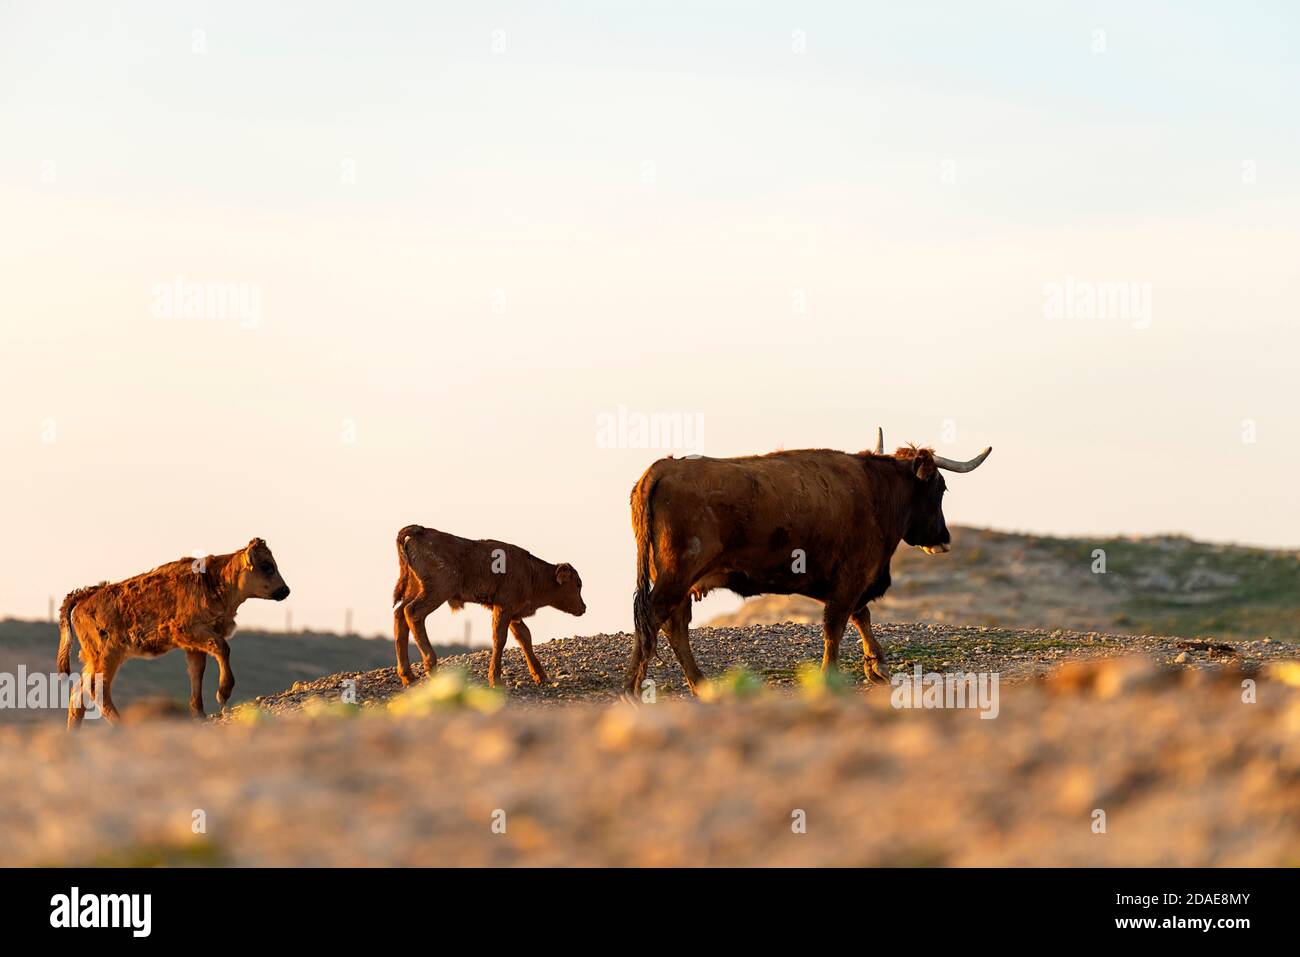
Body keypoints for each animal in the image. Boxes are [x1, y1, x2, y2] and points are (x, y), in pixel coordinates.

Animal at [56, 539, 291, 730]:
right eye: (266, 566)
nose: (285, 590)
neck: (215, 580)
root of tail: (87, 595)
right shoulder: (193, 632)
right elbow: (222, 648)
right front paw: (223, 693)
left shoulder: (195, 645)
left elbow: (197, 672)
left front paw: (199, 713)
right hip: (108, 655)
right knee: (97, 688)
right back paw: (120, 724)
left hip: (95, 659)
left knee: (79, 693)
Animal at [391, 525, 586, 689]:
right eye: (577, 584)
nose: (584, 607)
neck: (531, 572)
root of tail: (422, 531)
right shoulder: (504, 608)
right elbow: (500, 639)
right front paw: (496, 679)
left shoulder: (513, 613)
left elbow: (525, 638)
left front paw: (541, 676)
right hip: (438, 591)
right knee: (413, 613)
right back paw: (430, 667)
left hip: (415, 590)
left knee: (400, 614)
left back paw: (408, 676)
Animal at [625, 429, 992, 696]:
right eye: (940, 488)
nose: (943, 539)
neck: (876, 491)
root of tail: (663, 468)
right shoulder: (852, 575)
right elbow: (836, 625)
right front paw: (832, 675)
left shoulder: (848, 580)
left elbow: (860, 616)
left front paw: (876, 665)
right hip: (676, 576)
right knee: (654, 619)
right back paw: (632, 689)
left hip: (678, 581)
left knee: (673, 626)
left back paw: (699, 685)